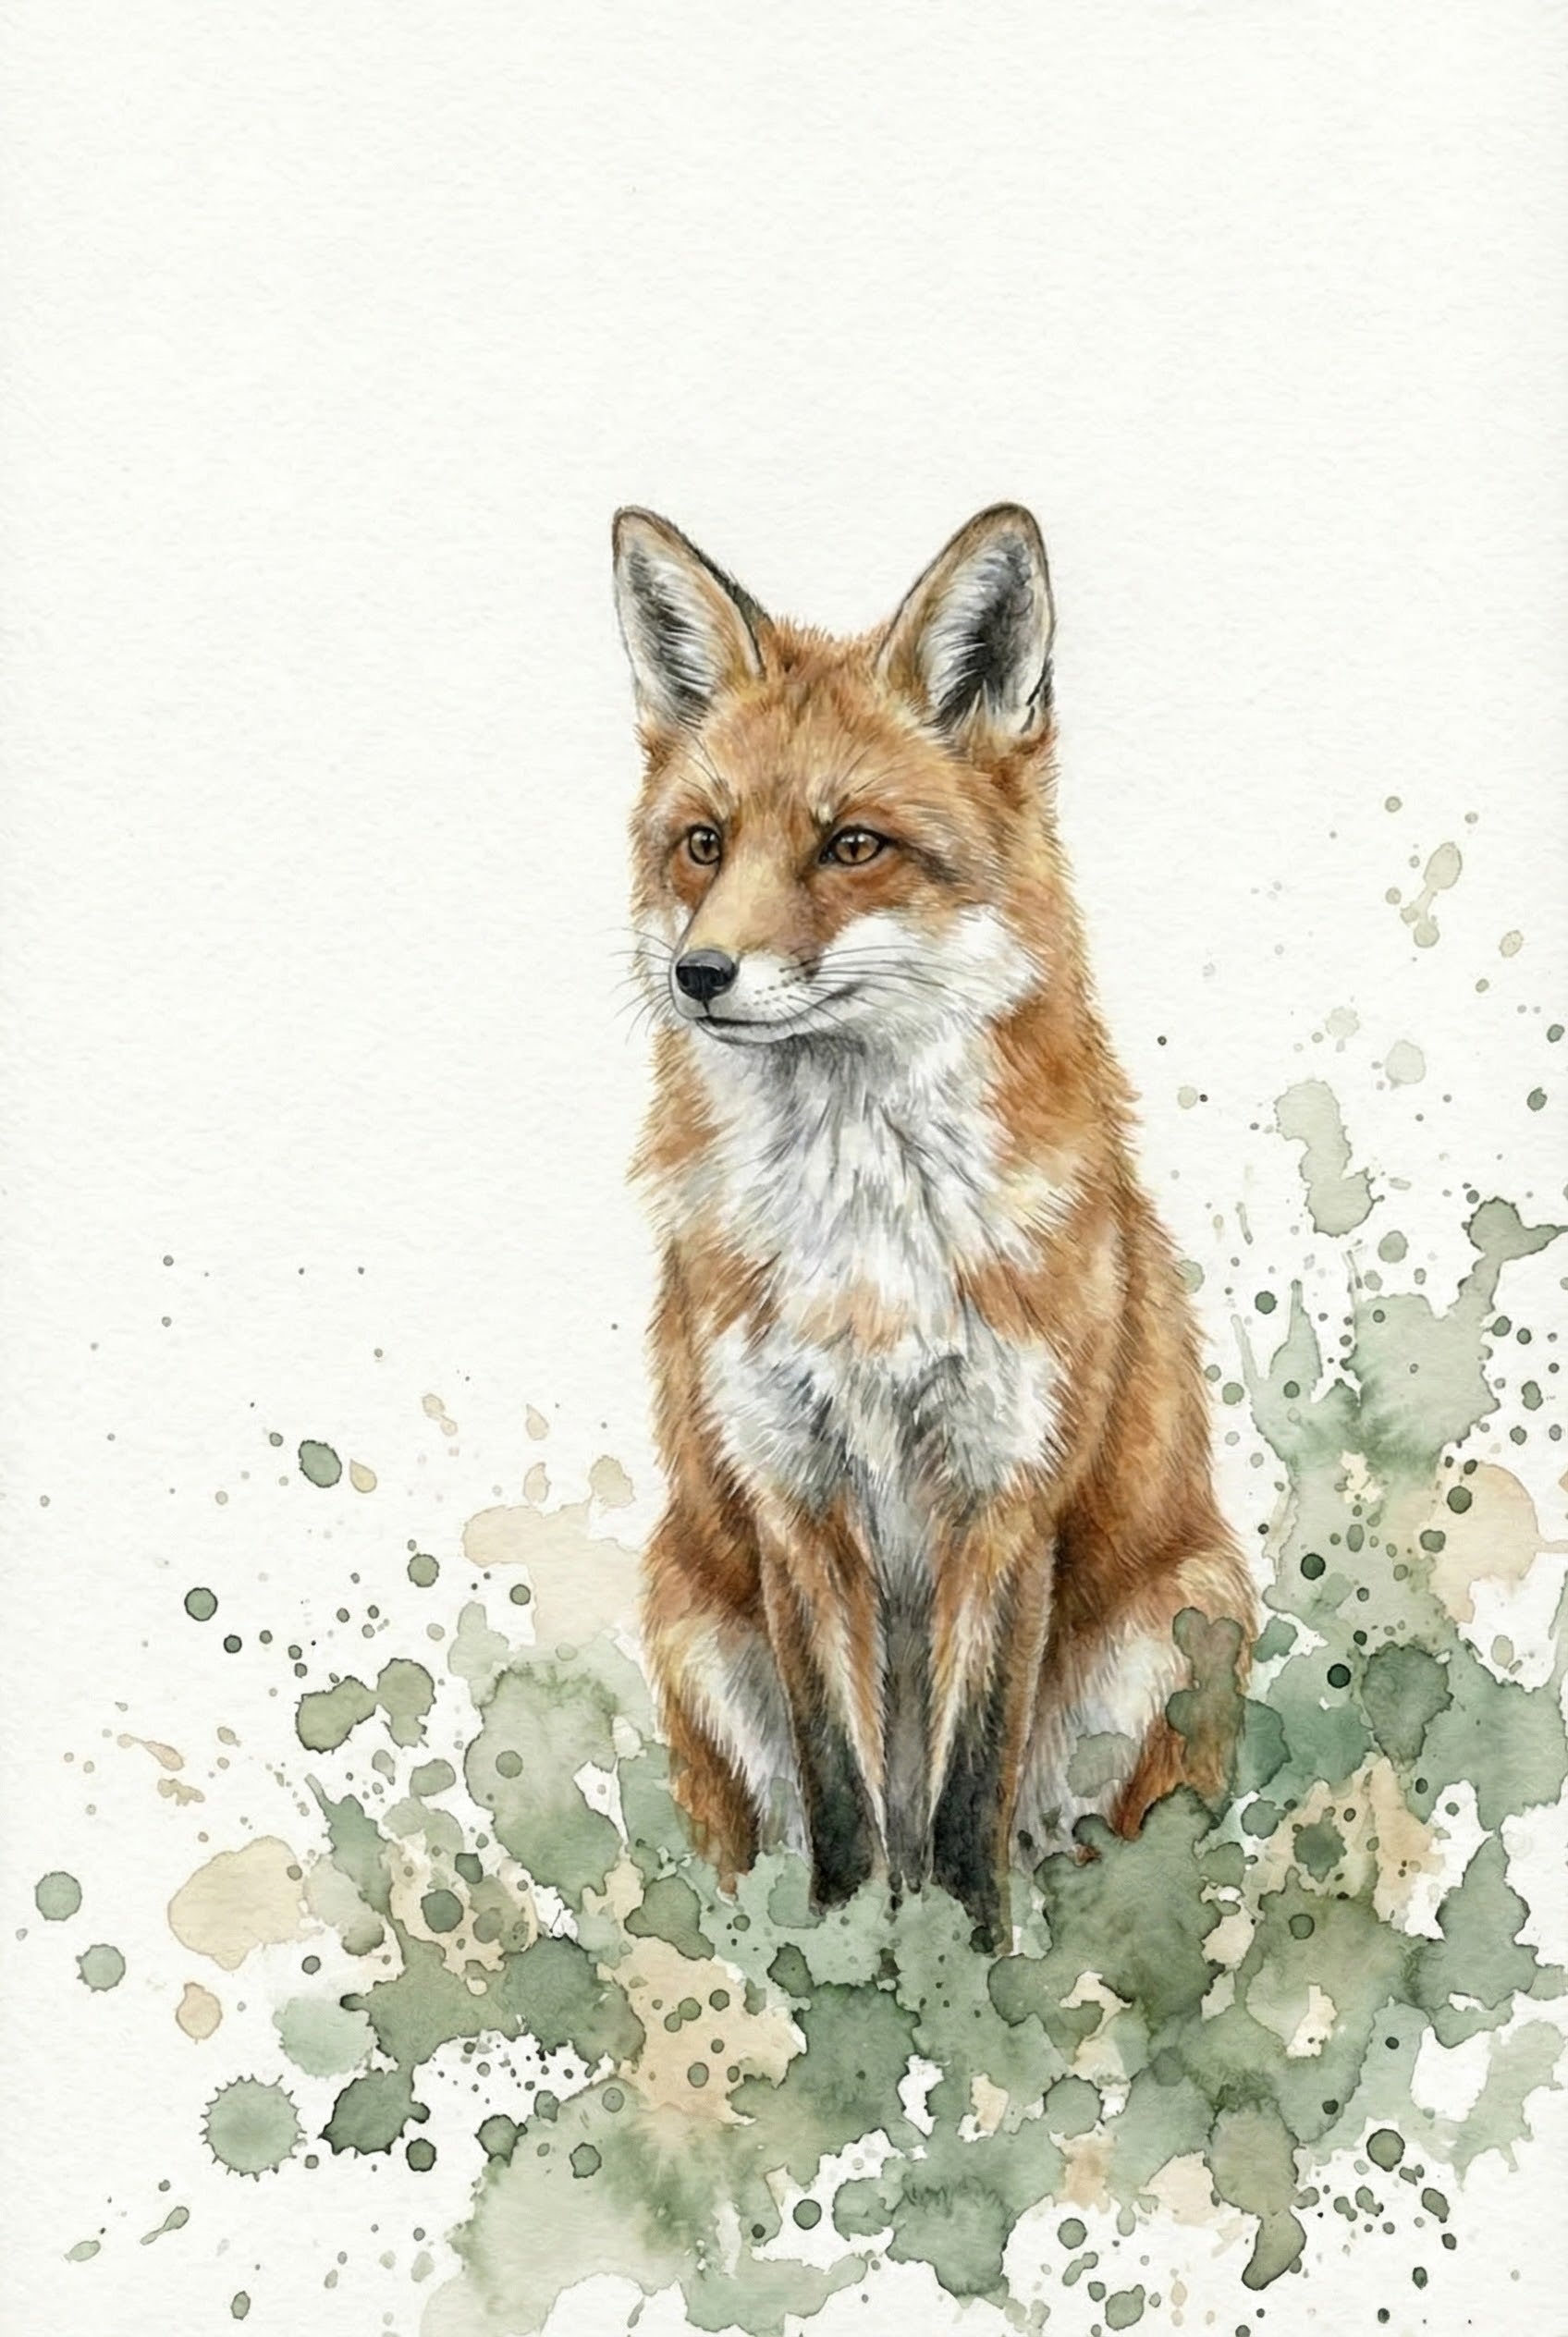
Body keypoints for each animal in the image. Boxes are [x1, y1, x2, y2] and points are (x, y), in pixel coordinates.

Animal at [612, 502, 1256, 1943]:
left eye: (852, 844)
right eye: (703, 844)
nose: (698, 974)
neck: (867, 1248)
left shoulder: (1004, 1492)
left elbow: (965, 1802)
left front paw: (963, 1973)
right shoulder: (792, 1497)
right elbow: (847, 1798)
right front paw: (851, 1960)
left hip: (1186, 1619)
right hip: (690, 1617)